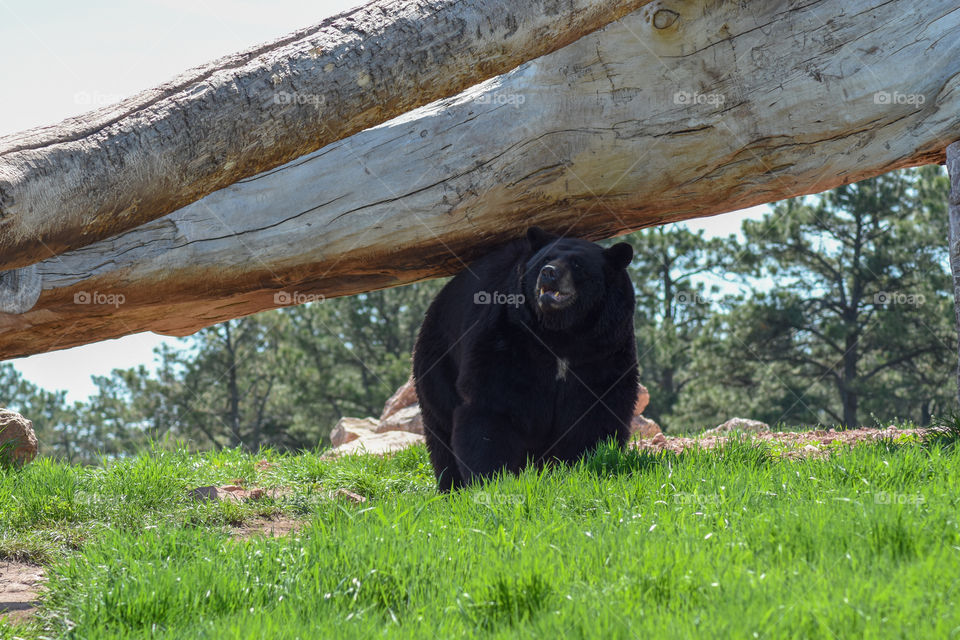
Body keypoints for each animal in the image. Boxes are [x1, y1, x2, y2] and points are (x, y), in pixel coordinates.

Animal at [412, 226, 638, 492]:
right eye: (545, 259)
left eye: (577, 264)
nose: (548, 273)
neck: (561, 334)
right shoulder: (508, 337)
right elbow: (492, 405)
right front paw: (491, 479)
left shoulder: (604, 349)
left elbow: (596, 408)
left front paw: (582, 466)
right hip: (438, 363)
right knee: (440, 430)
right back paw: (451, 486)